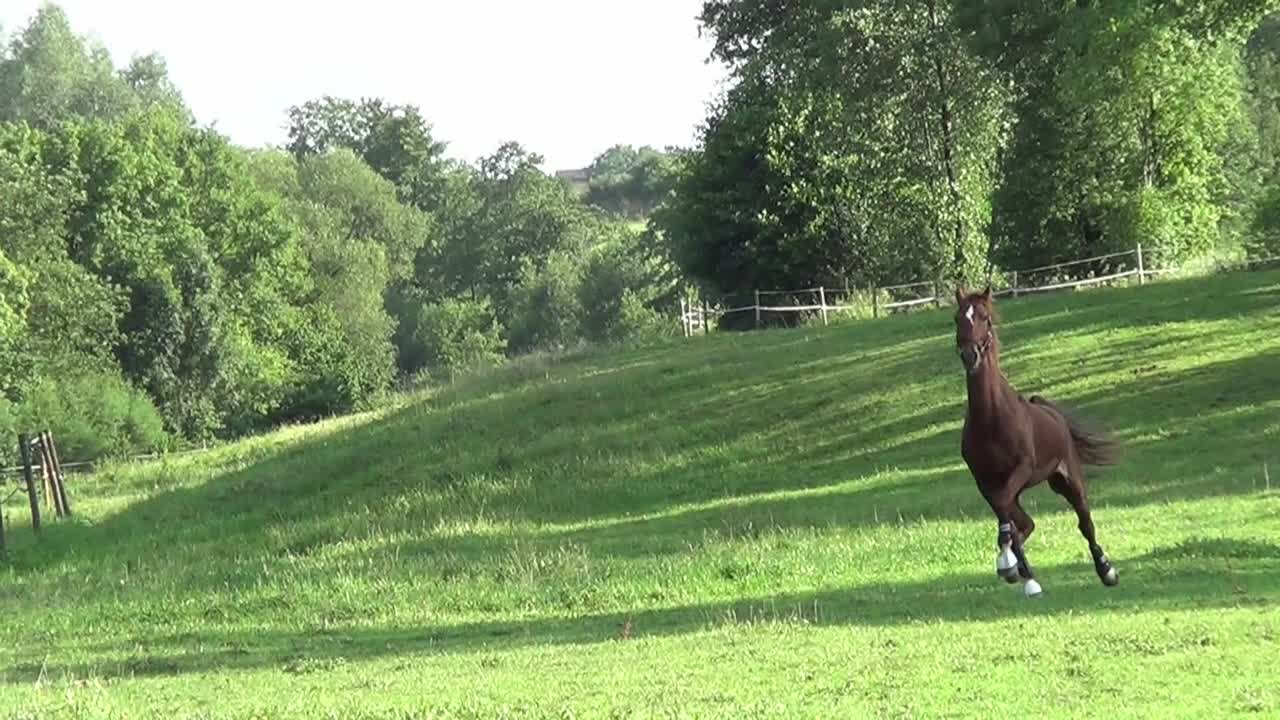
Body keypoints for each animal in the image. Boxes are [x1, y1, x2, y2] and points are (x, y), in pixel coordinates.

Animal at [952, 284, 1121, 594]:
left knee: (1085, 523)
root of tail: (1054, 416)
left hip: (1069, 481)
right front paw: (1015, 568)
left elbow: (1006, 513)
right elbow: (1006, 514)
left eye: (985, 318)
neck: (992, 419)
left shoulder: (1022, 468)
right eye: (957, 318)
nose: (970, 355)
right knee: (1026, 523)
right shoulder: (984, 481)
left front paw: (1015, 568)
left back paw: (1107, 571)